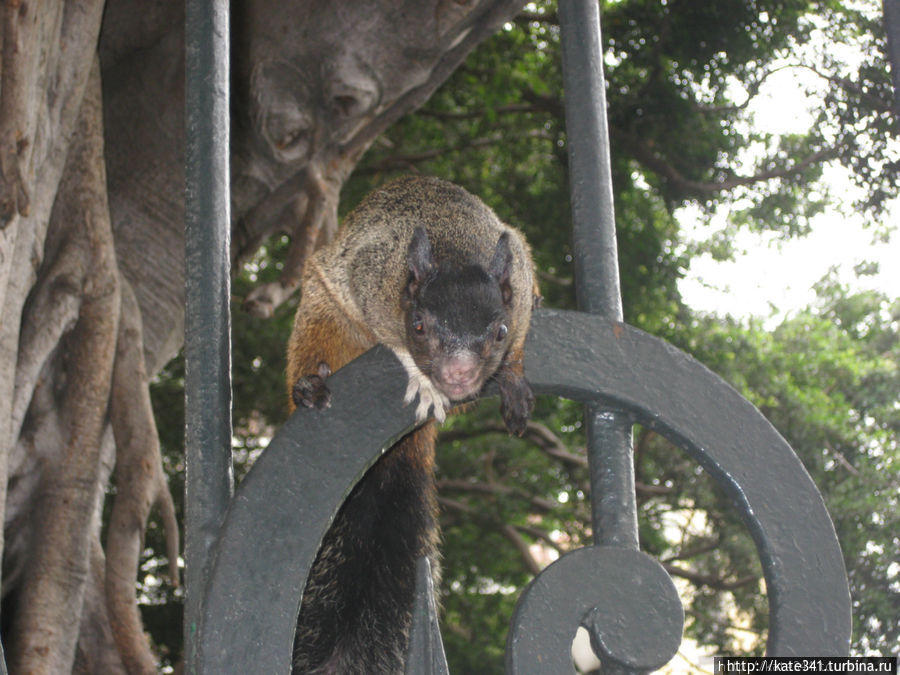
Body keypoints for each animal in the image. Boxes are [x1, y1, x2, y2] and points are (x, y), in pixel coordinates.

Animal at [286, 177, 536, 672]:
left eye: (498, 332)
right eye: (418, 326)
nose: (458, 375)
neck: (457, 249)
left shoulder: (517, 280)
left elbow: (522, 321)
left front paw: (514, 377)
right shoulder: (373, 276)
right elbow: (387, 333)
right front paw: (419, 377)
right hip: (322, 313)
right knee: (317, 338)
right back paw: (310, 382)